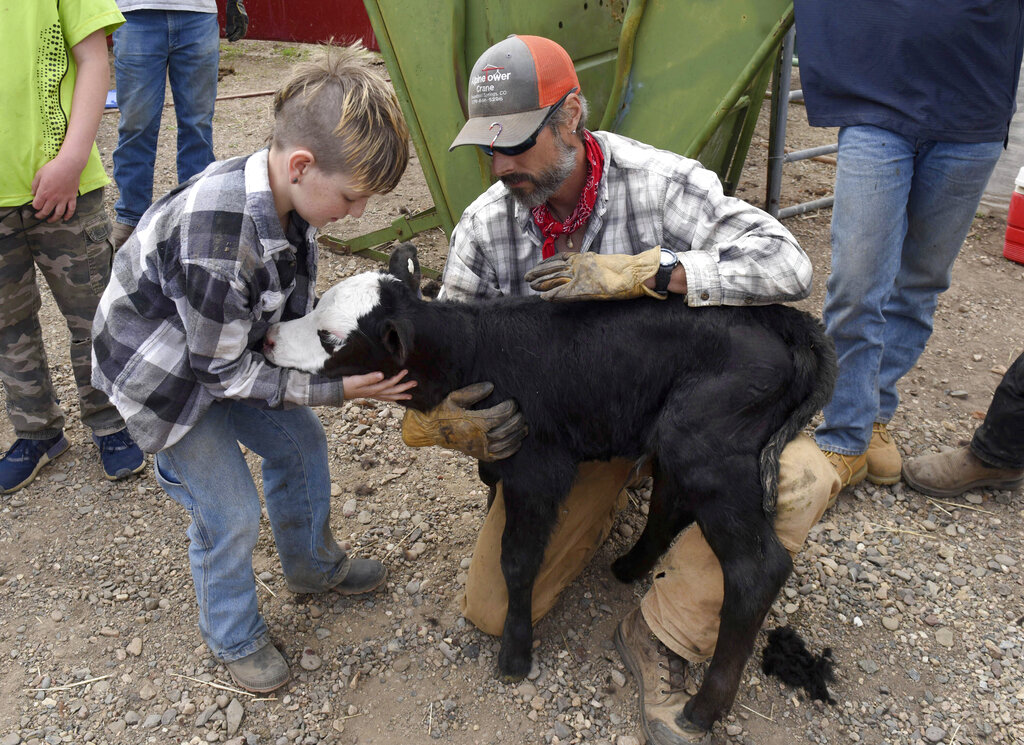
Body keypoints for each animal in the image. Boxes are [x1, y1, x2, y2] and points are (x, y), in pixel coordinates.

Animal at [264, 245, 831, 732]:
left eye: (330, 338)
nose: (268, 340)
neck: (472, 351)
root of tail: (785, 321)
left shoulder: (537, 468)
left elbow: (516, 561)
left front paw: (516, 653)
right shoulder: (499, 453)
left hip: (708, 446)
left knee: (757, 568)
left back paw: (704, 708)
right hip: (680, 438)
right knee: (670, 503)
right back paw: (630, 566)